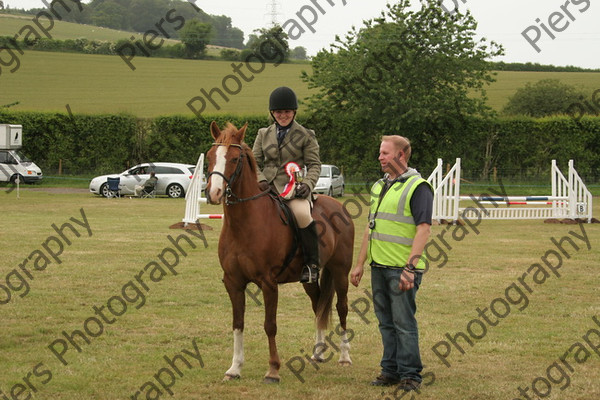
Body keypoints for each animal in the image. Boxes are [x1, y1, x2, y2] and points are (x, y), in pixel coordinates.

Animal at [206, 120, 356, 382]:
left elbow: (270, 325)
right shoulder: (233, 282)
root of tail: (338, 206)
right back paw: (317, 353)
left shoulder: (268, 283)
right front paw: (234, 368)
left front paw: (273, 370)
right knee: (318, 304)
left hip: (340, 272)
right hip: (309, 278)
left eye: (234, 159)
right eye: (210, 156)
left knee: (341, 307)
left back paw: (344, 357)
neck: (244, 224)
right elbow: (238, 322)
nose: (213, 193)